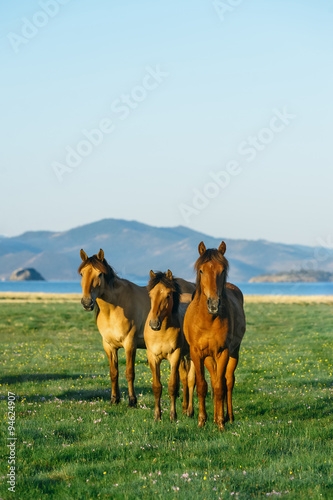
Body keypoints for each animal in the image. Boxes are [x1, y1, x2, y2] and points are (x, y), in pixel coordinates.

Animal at [77, 250, 195, 406]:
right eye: (82, 274)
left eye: (100, 274)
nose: (86, 302)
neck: (114, 308)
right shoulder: (108, 345)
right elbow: (113, 372)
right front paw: (114, 399)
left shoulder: (130, 343)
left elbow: (129, 373)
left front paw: (132, 400)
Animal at [143, 270, 195, 422]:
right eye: (150, 295)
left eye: (168, 295)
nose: (154, 324)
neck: (162, 332)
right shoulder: (153, 357)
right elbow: (157, 387)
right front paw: (157, 416)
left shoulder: (175, 355)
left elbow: (172, 386)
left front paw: (172, 416)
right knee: (184, 379)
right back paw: (184, 409)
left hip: (190, 355)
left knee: (191, 381)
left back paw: (190, 411)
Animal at [183, 240, 245, 428]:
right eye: (201, 270)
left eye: (222, 270)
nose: (214, 304)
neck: (208, 320)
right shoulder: (197, 353)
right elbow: (203, 386)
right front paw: (202, 420)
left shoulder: (223, 351)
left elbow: (219, 387)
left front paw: (220, 423)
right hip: (209, 358)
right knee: (215, 378)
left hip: (234, 352)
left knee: (227, 381)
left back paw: (228, 416)